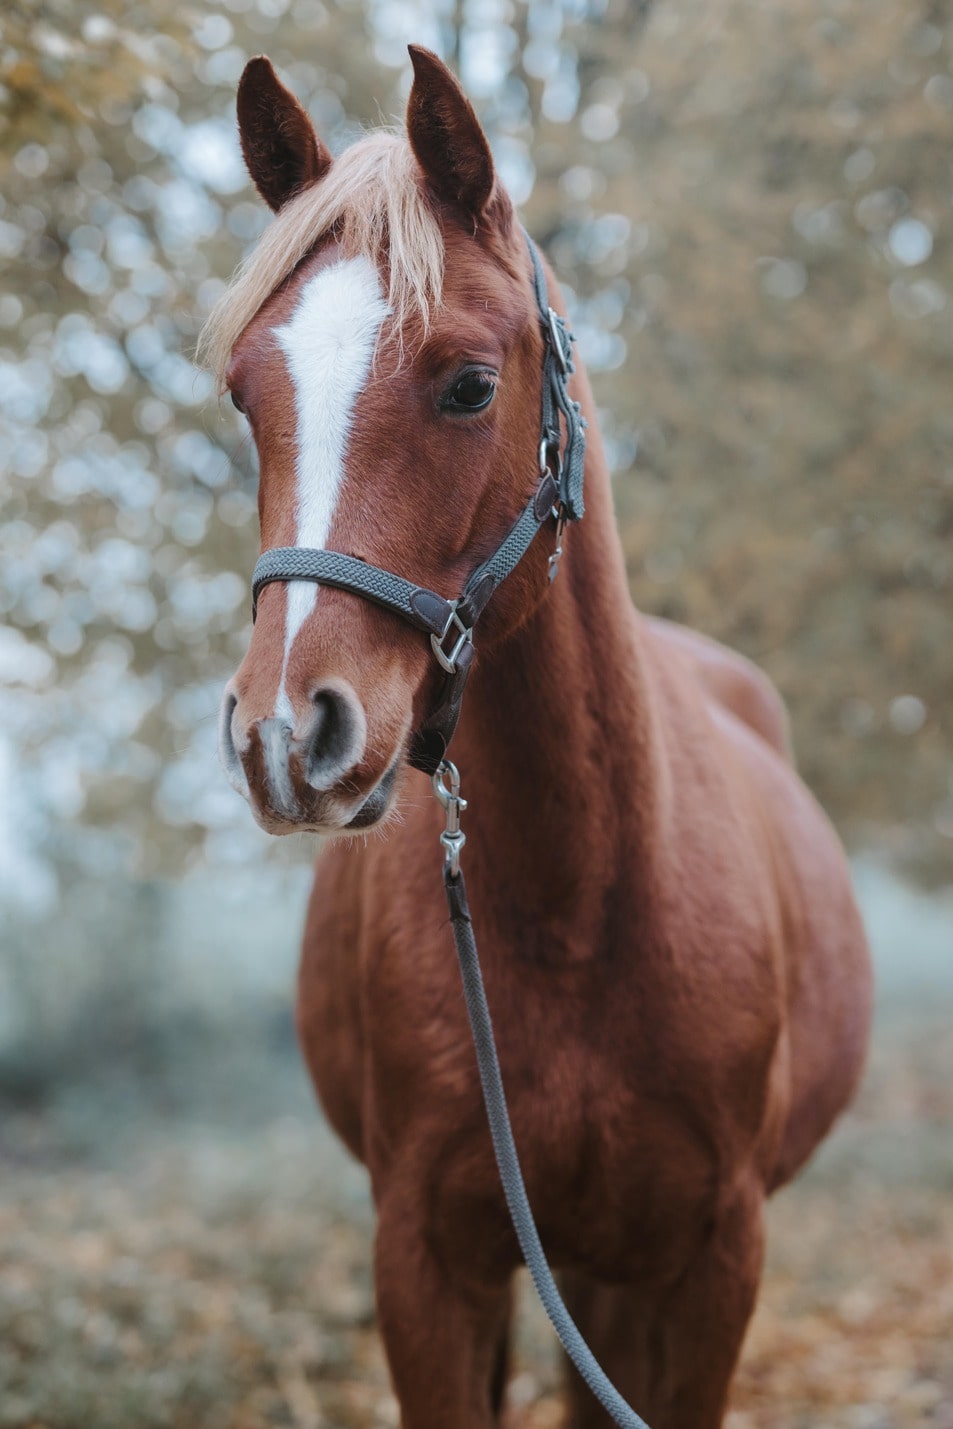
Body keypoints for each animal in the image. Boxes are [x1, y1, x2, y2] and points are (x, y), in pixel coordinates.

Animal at [202, 47, 873, 1428]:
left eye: (469, 383)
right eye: (247, 395)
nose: (286, 734)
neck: (583, 908)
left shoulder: (713, 1265)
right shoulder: (427, 1263)